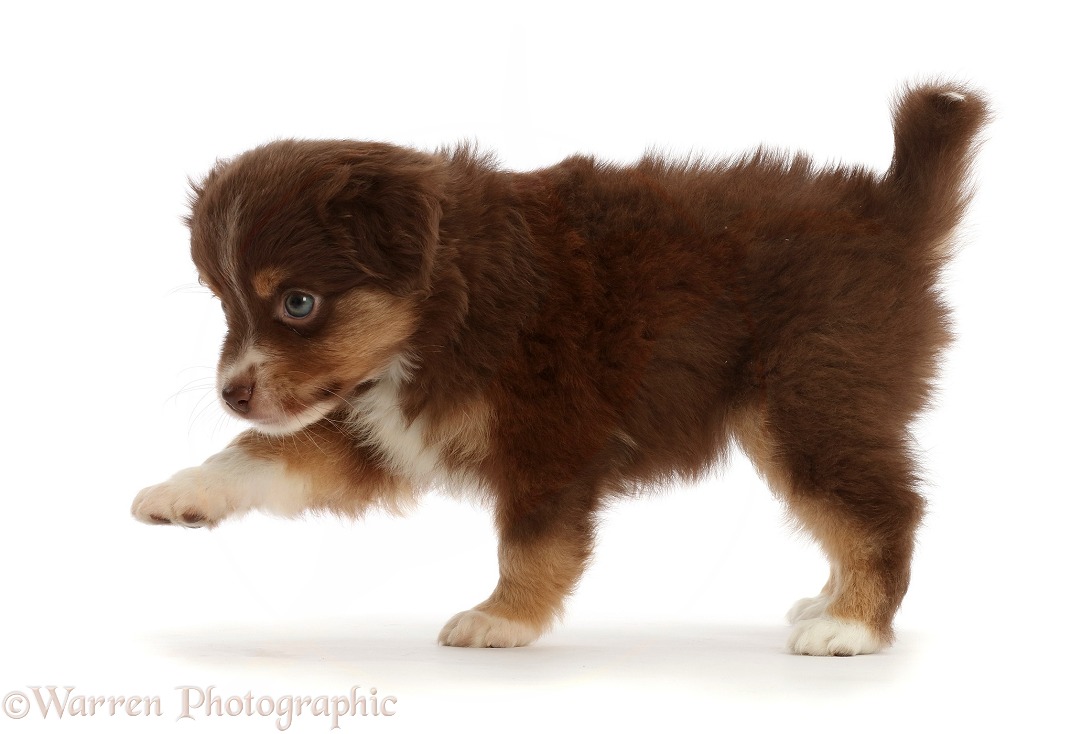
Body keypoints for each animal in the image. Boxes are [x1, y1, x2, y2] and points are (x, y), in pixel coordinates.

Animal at [127, 83, 985, 655]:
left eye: (299, 302)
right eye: (224, 302)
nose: (232, 394)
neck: (450, 297)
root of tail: (887, 212)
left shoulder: (549, 433)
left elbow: (529, 543)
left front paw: (500, 618)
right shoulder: (376, 424)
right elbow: (271, 457)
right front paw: (180, 495)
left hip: (809, 400)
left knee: (880, 510)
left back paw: (851, 626)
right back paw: (827, 602)